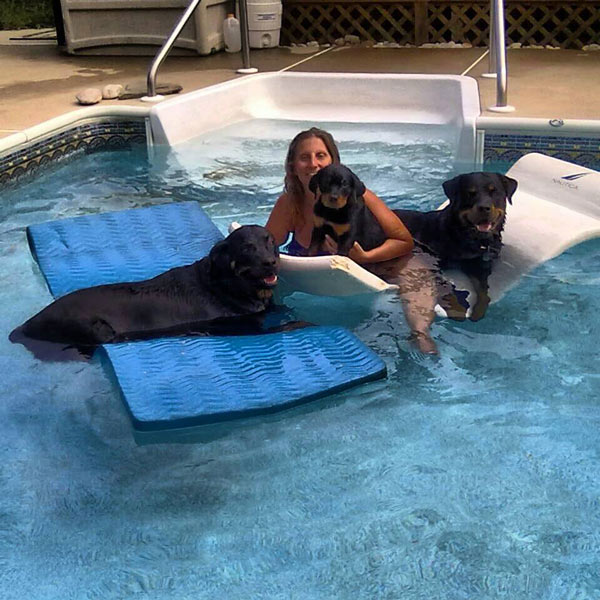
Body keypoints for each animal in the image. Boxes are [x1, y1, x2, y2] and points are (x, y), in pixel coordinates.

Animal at [8, 223, 286, 358]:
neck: (222, 285)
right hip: (95, 329)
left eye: (270, 241)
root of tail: (26, 325)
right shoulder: (238, 325)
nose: (271, 262)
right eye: (247, 247)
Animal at [394, 172, 516, 322]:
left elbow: (483, 289)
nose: (484, 207)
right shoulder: (431, 262)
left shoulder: (479, 265)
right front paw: (456, 309)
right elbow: (444, 287)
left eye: (494, 191)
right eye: (470, 193)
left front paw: (479, 309)